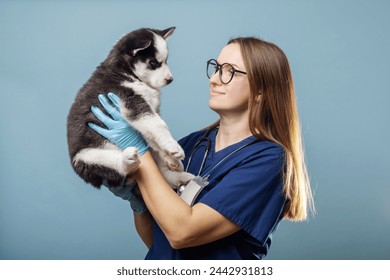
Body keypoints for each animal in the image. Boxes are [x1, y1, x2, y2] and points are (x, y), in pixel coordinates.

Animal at [67, 26, 192, 188]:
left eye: (166, 61)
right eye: (153, 62)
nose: (170, 79)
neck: (126, 71)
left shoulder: (148, 112)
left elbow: (153, 135)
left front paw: (170, 156)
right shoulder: (132, 103)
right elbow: (159, 125)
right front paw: (173, 147)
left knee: (161, 173)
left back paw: (179, 177)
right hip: (87, 157)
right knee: (116, 168)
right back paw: (127, 160)